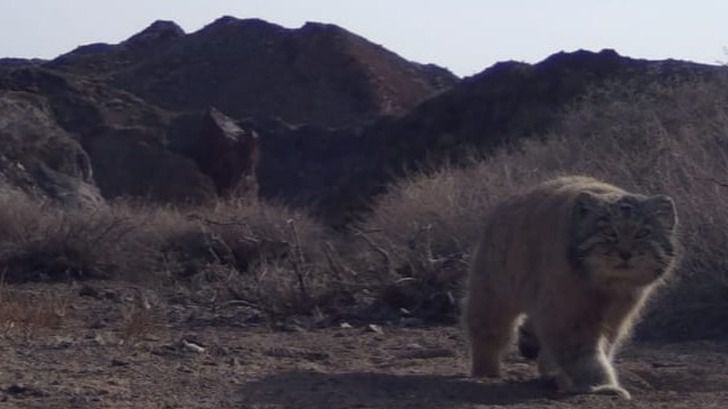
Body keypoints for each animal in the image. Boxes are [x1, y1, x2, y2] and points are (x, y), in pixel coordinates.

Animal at [464, 175, 680, 398]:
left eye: (642, 233)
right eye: (609, 232)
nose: (625, 253)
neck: (607, 287)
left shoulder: (616, 316)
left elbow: (603, 345)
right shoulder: (566, 312)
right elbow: (581, 352)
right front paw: (601, 384)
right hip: (493, 292)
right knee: (488, 330)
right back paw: (486, 372)